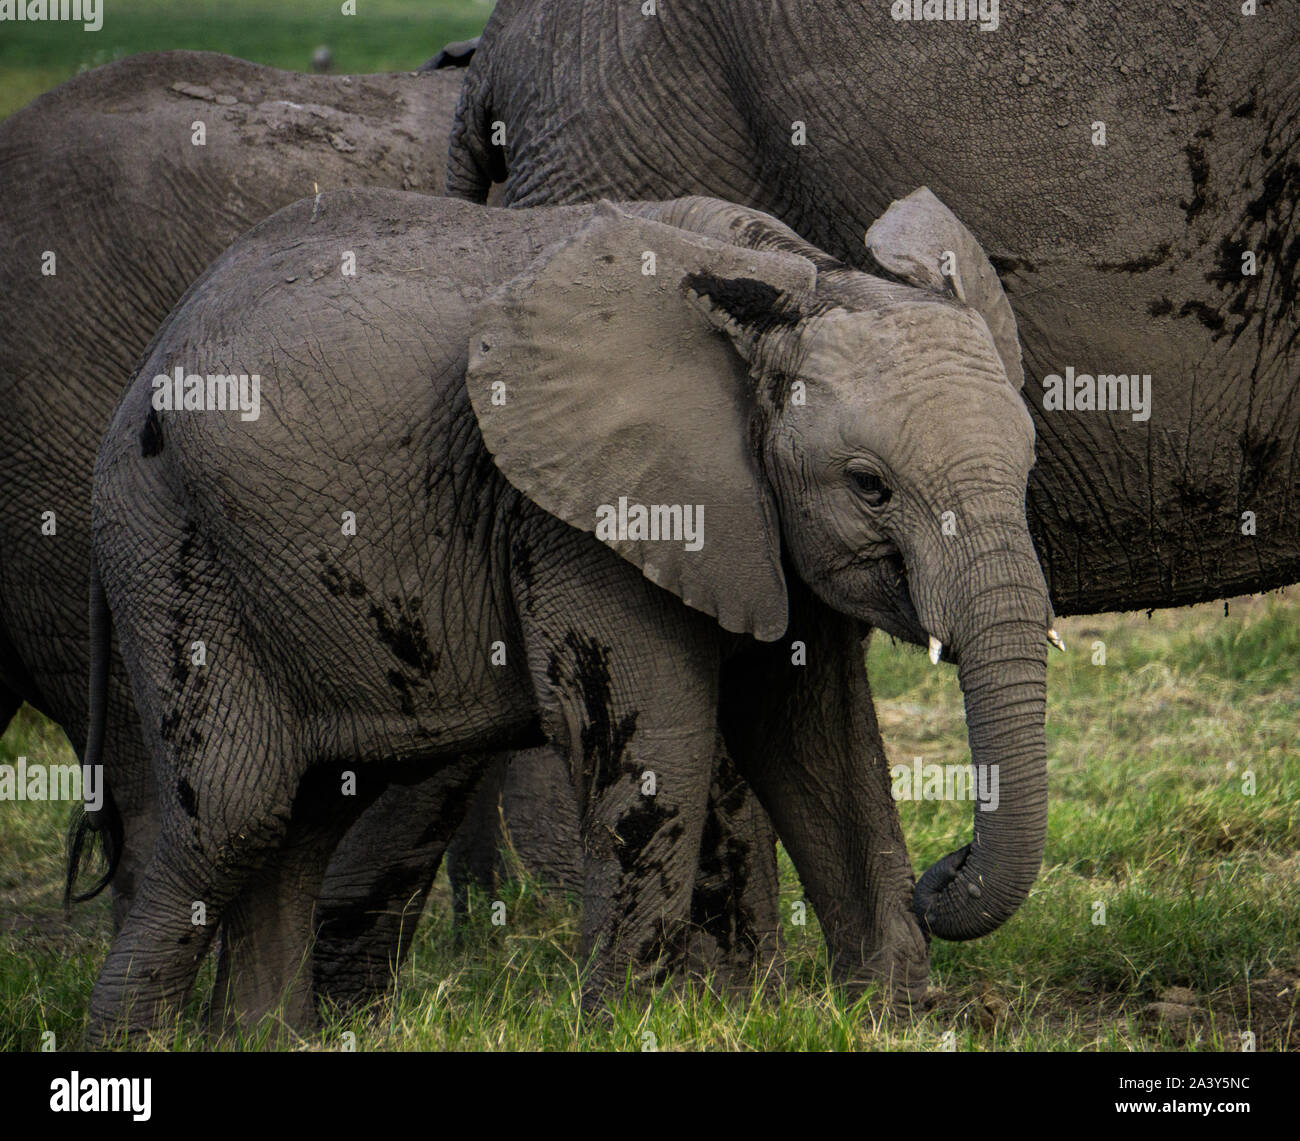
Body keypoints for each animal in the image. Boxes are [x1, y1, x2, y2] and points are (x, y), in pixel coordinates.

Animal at [86, 185, 1050, 1034]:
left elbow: (821, 742)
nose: (946, 870)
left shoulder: (766, 524)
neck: (790, 280)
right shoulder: (581, 517)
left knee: (304, 813)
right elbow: (663, 750)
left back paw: (260, 1039)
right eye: (868, 485)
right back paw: (131, 1044)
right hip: (169, 540)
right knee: (234, 812)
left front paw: (896, 1015)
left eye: (1027, 467)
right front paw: (627, 1023)